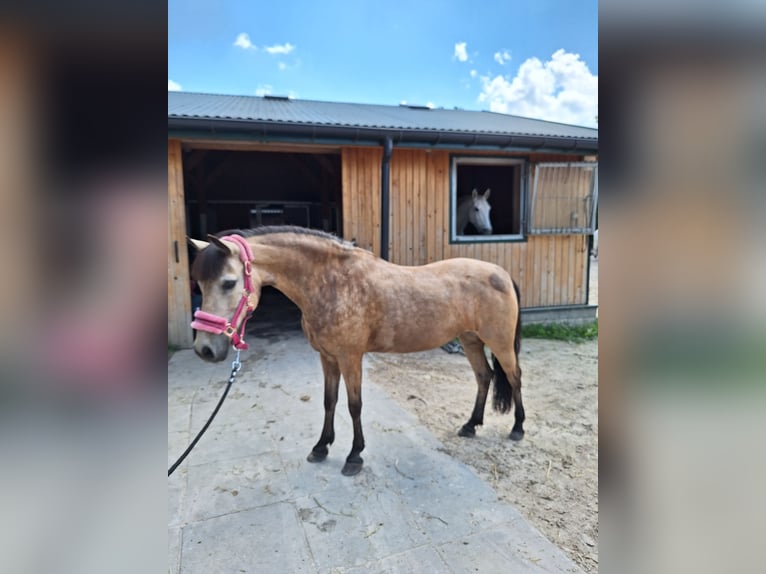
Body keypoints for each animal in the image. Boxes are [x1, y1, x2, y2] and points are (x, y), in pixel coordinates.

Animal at [188, 227, 524, 480]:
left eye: (228, 283)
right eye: (200, 284)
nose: (204, 349)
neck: (332, 283)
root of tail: (502, 273)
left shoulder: (350, 357)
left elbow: (354, 405)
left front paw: (354, 456)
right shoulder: (327, 357)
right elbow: (329, 401)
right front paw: (321, 447)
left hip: (500, 343)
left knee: (514, 377)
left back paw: (518, 428)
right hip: (470, 340)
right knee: (484, 376)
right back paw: (470, 426)